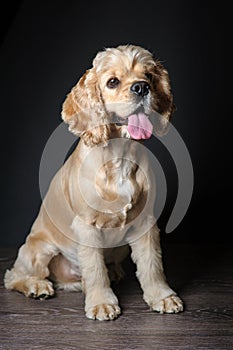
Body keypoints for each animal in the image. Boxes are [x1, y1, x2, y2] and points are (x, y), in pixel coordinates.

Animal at [2, 45, 183, 322]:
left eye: (149, 76)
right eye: (112, 82)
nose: (142, 88)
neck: (120, 157)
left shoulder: (145, 223)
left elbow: (152, 265)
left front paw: (162, 297)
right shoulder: (86, 226)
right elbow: (95, 270)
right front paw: (101, 303)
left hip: (119, 247)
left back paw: (113, 274)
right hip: (39, 250)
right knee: (13, 276)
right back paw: (37, 286)